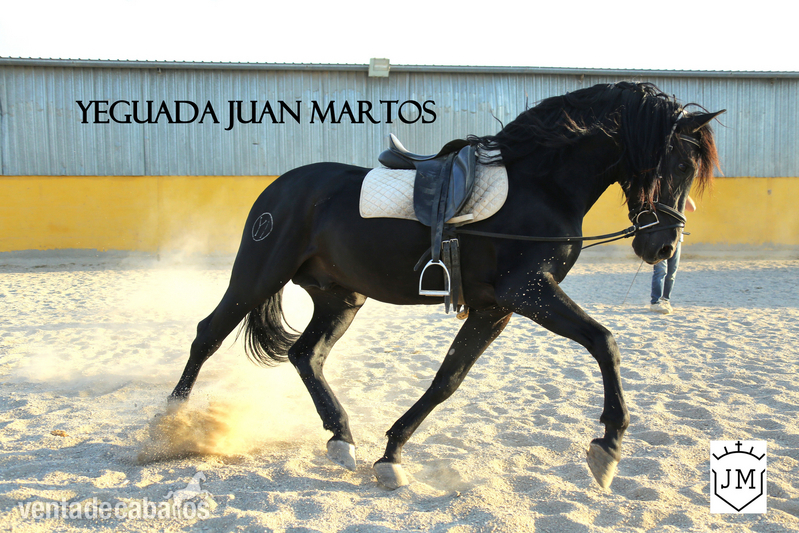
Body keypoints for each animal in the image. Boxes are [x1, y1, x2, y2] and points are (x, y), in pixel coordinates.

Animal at [168, 81, 723, 491]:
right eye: (678, 164)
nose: (663, 248)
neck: (541, 184)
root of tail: (279, 187)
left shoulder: (496, 309)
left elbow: (447, 380)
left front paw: (392, 454)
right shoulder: (528, 291)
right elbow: (604, 341)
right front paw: (608, 446)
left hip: (340, 296)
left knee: (306, 355)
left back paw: (341, 437)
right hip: (258, 274)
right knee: (208, 334)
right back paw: (170, 422)